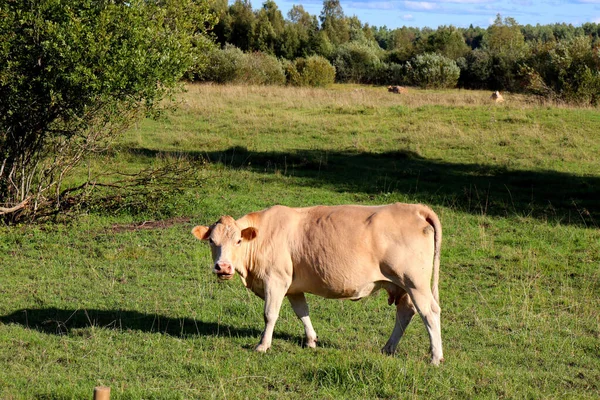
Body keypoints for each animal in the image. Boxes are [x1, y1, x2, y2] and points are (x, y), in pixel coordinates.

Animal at [192, 205, 446, 364]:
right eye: (212, 241)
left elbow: (270, 314)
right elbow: (302, 312)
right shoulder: (293, 286)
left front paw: (263, 345)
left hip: (415, 282)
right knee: (405, 312)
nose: (223, 267)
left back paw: (435, 357)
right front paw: (311, 340)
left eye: (238, 241)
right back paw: (388, 348)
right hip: (403, 285)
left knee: (429, 312)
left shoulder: (275, 279)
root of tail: (415, 208)